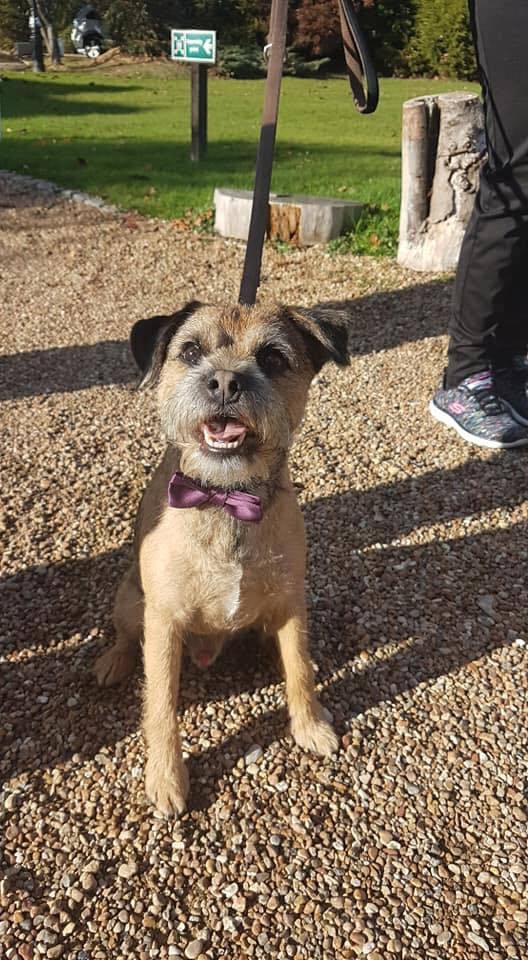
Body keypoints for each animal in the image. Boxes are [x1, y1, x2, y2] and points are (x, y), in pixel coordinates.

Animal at [94, 304, 350, 812]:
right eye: (191, 351)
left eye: (272, 358)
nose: (227, 382)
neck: (225, 497)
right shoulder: (164, 621)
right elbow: (160, 705)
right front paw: (166, 777)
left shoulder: (291, 602)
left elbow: (298, 669)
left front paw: (310, 725)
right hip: (132, 601)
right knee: (126, 636)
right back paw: (114, 660)